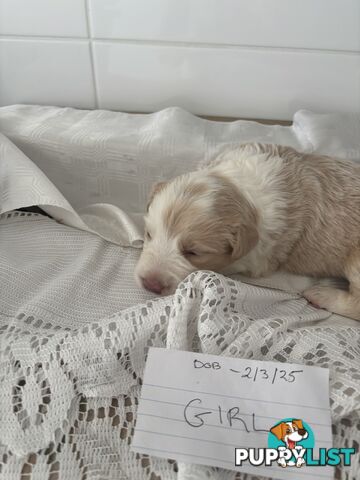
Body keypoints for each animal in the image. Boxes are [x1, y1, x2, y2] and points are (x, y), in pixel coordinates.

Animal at [134, 144, 360, 320]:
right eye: (149, 234)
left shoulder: (258, 256)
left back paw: (323, 295)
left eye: (193, 252)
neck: (241, 188)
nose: (150, 284)